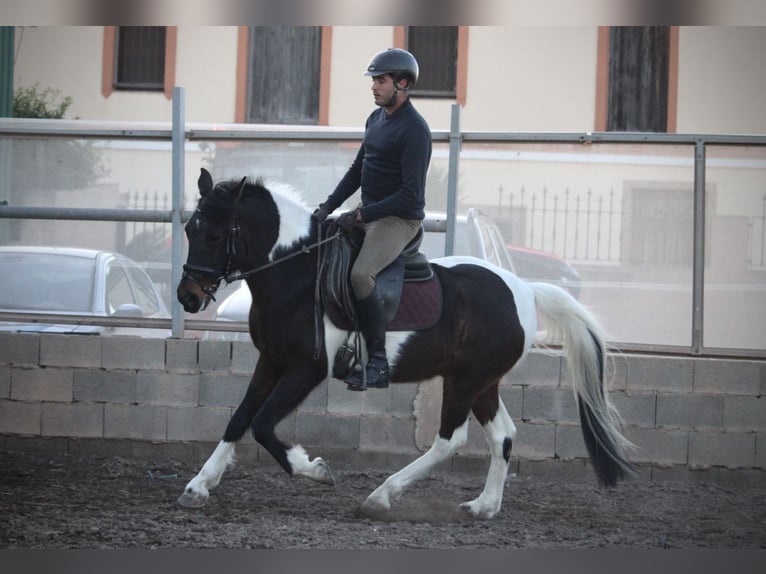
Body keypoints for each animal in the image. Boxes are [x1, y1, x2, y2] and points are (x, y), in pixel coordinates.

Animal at [176, 169, 636, 520]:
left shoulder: (306, 369)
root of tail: (523, 289)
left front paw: (315, 469)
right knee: (502, 435)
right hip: (482, 382)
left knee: (450, 439)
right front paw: (198, 485)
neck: (296, 274)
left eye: (215, 235)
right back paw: (482, 506)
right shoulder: (270, 362)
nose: (187, 297)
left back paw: (381, 497)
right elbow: (239, 418)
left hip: (466, 380)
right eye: (188, 229)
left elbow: (263, 425)